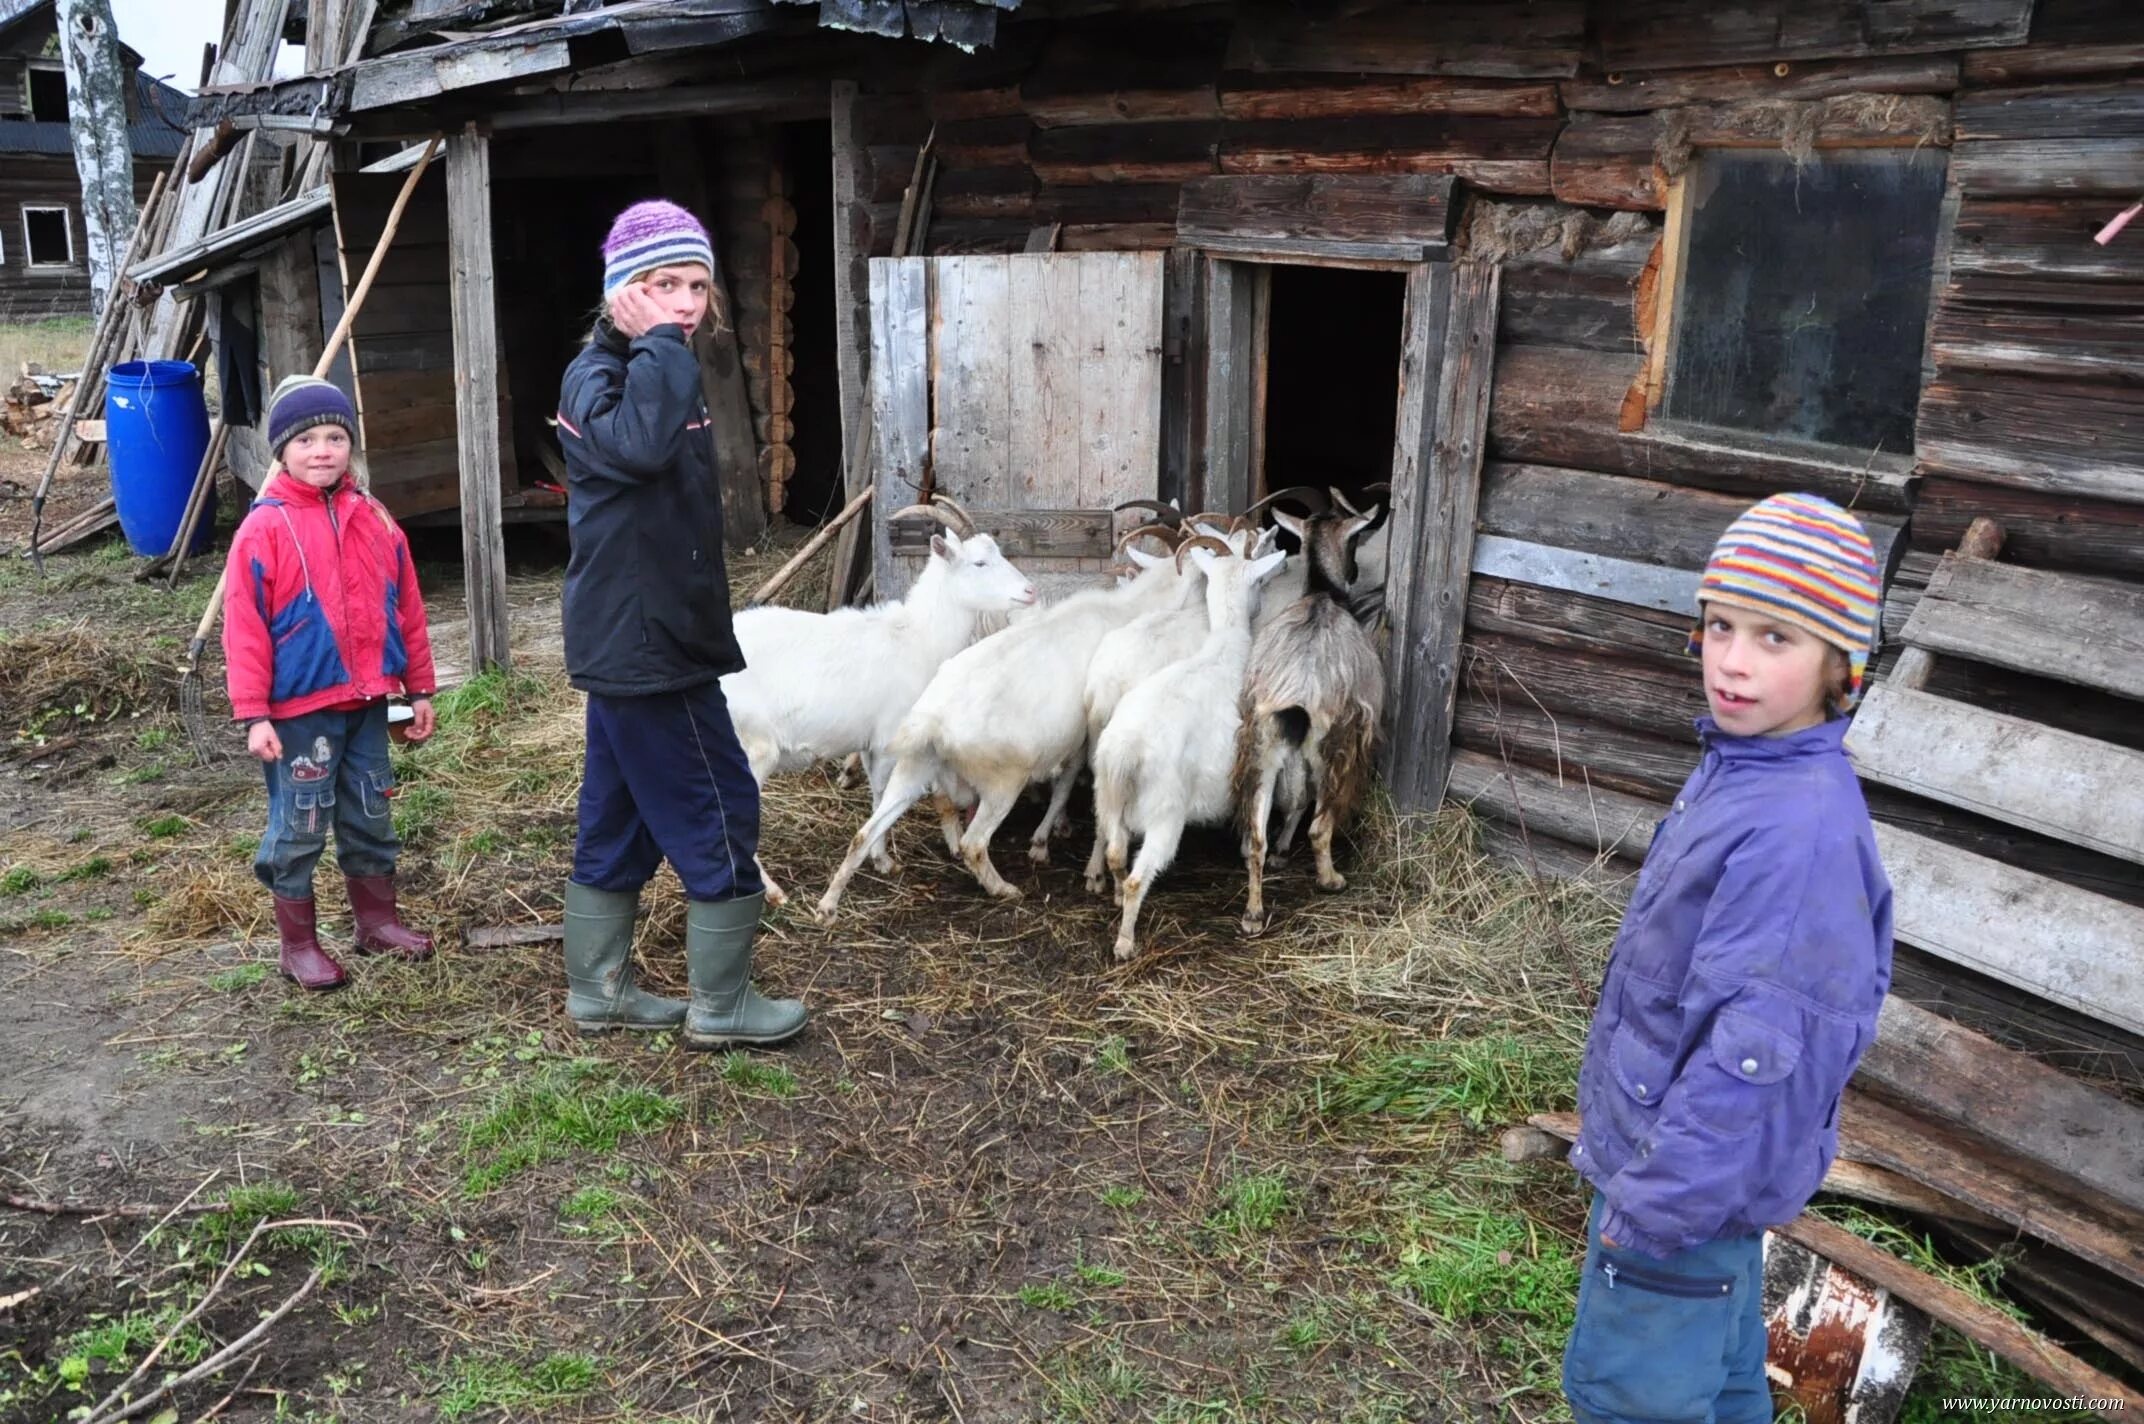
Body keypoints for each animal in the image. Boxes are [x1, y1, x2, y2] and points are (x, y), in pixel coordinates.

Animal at [720, 495, 1037, 905]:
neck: (917, 636)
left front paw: (879, 856)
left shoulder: (871, 744)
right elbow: (884, 794)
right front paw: (884, 859)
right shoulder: (889, 737)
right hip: (753, 747)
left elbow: (878, 793)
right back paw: (773, 892)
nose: (1030, 591)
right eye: (979, 563)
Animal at [814, 525, 1200, 922]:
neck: (1126, 610)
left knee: (865, 832)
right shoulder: (1085, 736)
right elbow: (1068, 784)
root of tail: (934, 720)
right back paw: (1003, 888)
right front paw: (1046, 841)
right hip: (1003, 781)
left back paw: (829, 904)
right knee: (973, 844)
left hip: (914, 767)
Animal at [1097, 540, 1277, 960]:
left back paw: (1115, 897)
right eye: (1261, 580)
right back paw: (1125, 943)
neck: (1227, 649)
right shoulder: (1262, 764)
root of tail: (1125, 752)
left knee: (1115, 854)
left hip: (1108, 799)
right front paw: (1254, 914)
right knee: (1137, 877)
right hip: (1165, 813)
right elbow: (1258, 843)